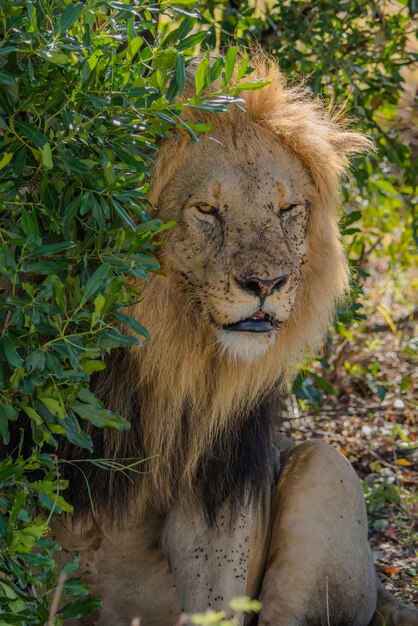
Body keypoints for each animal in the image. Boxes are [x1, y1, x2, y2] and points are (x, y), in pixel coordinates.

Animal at [54, 54, 416, 624]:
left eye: (287, 210)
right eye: (207, 210)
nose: (265, 284)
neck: (163, 353)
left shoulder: (220, 487)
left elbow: (216, 595)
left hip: (326, 467)